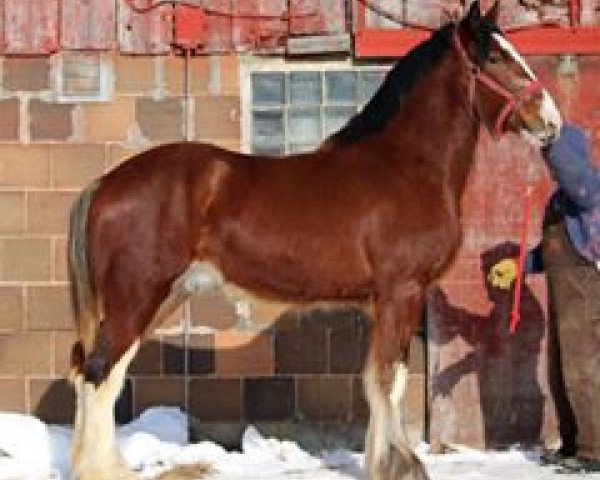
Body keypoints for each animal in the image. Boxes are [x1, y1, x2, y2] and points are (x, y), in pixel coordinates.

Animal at [67, 1, 564, 478]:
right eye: (495, 56)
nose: (551, 121)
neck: (406, 167)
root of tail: (106, 183)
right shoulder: (400, 292)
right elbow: (389, 379)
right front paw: (402, 464)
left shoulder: (383, 301)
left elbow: (378, 380)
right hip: (137, 296)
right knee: (99, 373)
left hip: (160, 296)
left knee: (102, 372)